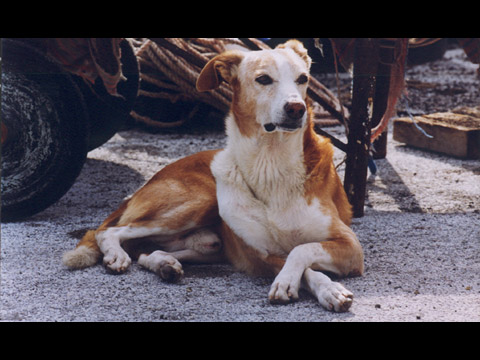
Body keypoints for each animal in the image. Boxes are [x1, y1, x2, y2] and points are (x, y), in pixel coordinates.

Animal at [63, 39, 364, 312]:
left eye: (303, 79)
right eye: (263, 79)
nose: (296, 108)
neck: (271, 164)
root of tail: (148, 182)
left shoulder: (350, 246)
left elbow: (303, 249)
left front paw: (327, 290)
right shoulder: (262, 255)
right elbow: (302, 261)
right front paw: (301, 284)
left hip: (209, 244)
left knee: (145, 251)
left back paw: (164, 264)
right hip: (198, 202)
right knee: (106, 231)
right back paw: (117, 255)